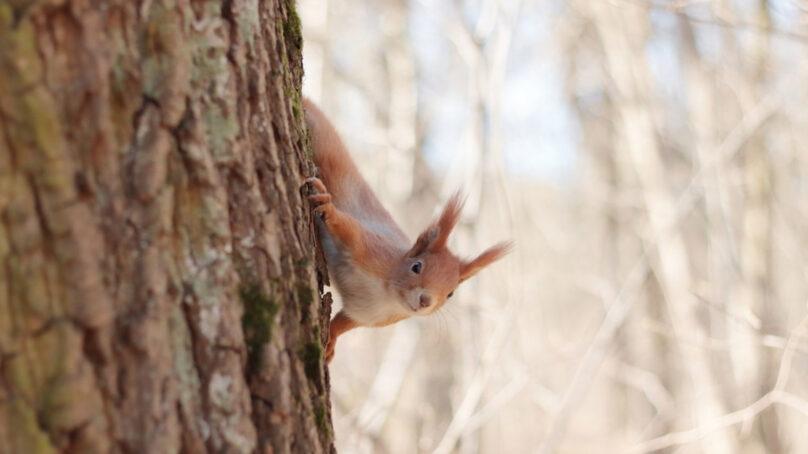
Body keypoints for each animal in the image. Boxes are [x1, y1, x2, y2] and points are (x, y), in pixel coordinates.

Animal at [304, 98, 512, 362]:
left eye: (451, 293)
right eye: (416, 266)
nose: (425, 301)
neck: (388, 297)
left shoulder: (367, 314)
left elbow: (344, 321)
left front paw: (330, 340)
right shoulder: (370, 249)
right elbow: (347, 228)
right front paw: (328, 209)